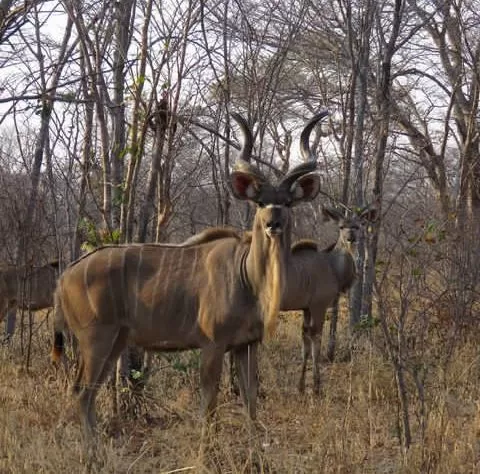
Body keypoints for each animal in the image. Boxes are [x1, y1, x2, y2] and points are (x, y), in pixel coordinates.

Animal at [50, 110, 328, 448]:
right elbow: (209, 403)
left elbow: (250, 400)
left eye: (287, 202)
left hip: (115, 341)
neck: (248, 278)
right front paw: (208, 451)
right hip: (96, 339)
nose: (273, 223)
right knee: (81, 391)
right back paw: (94, 453)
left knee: (88, 392)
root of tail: (64, 277)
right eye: (260, 201)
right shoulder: (212, 344)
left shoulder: (246, 345)